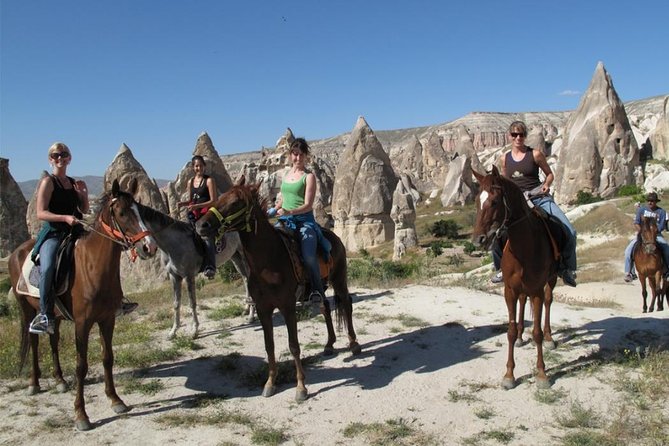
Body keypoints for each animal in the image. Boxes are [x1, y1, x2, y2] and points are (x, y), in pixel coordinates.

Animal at [8, 179, 157, 432]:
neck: (92, 268)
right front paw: (81, 415)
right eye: (121, 212)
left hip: (53, 315)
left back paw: (59, 380)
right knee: (34, 342)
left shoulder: (107, 319)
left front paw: (116, 400)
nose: (149, 247)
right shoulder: (82, 322)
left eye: (139, 210)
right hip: (27, 310)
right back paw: (33, 384)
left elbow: (107, 358)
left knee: (53, 341)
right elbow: (81, 365)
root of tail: (16, 252)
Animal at [131, 202, 253, 338]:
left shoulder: (188, 275)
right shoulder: (174, 276)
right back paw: (246, 309)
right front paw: (173, 331)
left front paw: (194, 331)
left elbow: (192, 302)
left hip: (244, 255)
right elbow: (176, 303)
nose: (144, 250)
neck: (173, 243)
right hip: (235, 256)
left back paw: (251, 316)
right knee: (245, 278)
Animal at [193, 177, 360, 400]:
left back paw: (354, 344)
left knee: (347, 304)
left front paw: (301, 387)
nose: (201, 225)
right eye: (220, 197)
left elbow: (294, 346)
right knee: (325, 306)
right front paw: (270, 383)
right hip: (321, 286)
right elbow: (269, 346)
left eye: (236, 202)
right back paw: (329, 344)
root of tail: (334, 237)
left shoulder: (287, 307)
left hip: (339, 279)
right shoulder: (263, 309)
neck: (268, 262)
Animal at [470, 167, 560, 390]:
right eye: (476, 201)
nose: (478, 240)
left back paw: (549, 338)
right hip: (520, 288)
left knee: (548, 302)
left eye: (494, 201)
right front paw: (509, 375)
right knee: (522, 301)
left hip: (551, 279)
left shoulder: (536, 289)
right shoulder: (509, 290)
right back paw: (520, 336)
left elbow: (536, 332)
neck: (524, 245)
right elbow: (509, 331)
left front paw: (542, 374)